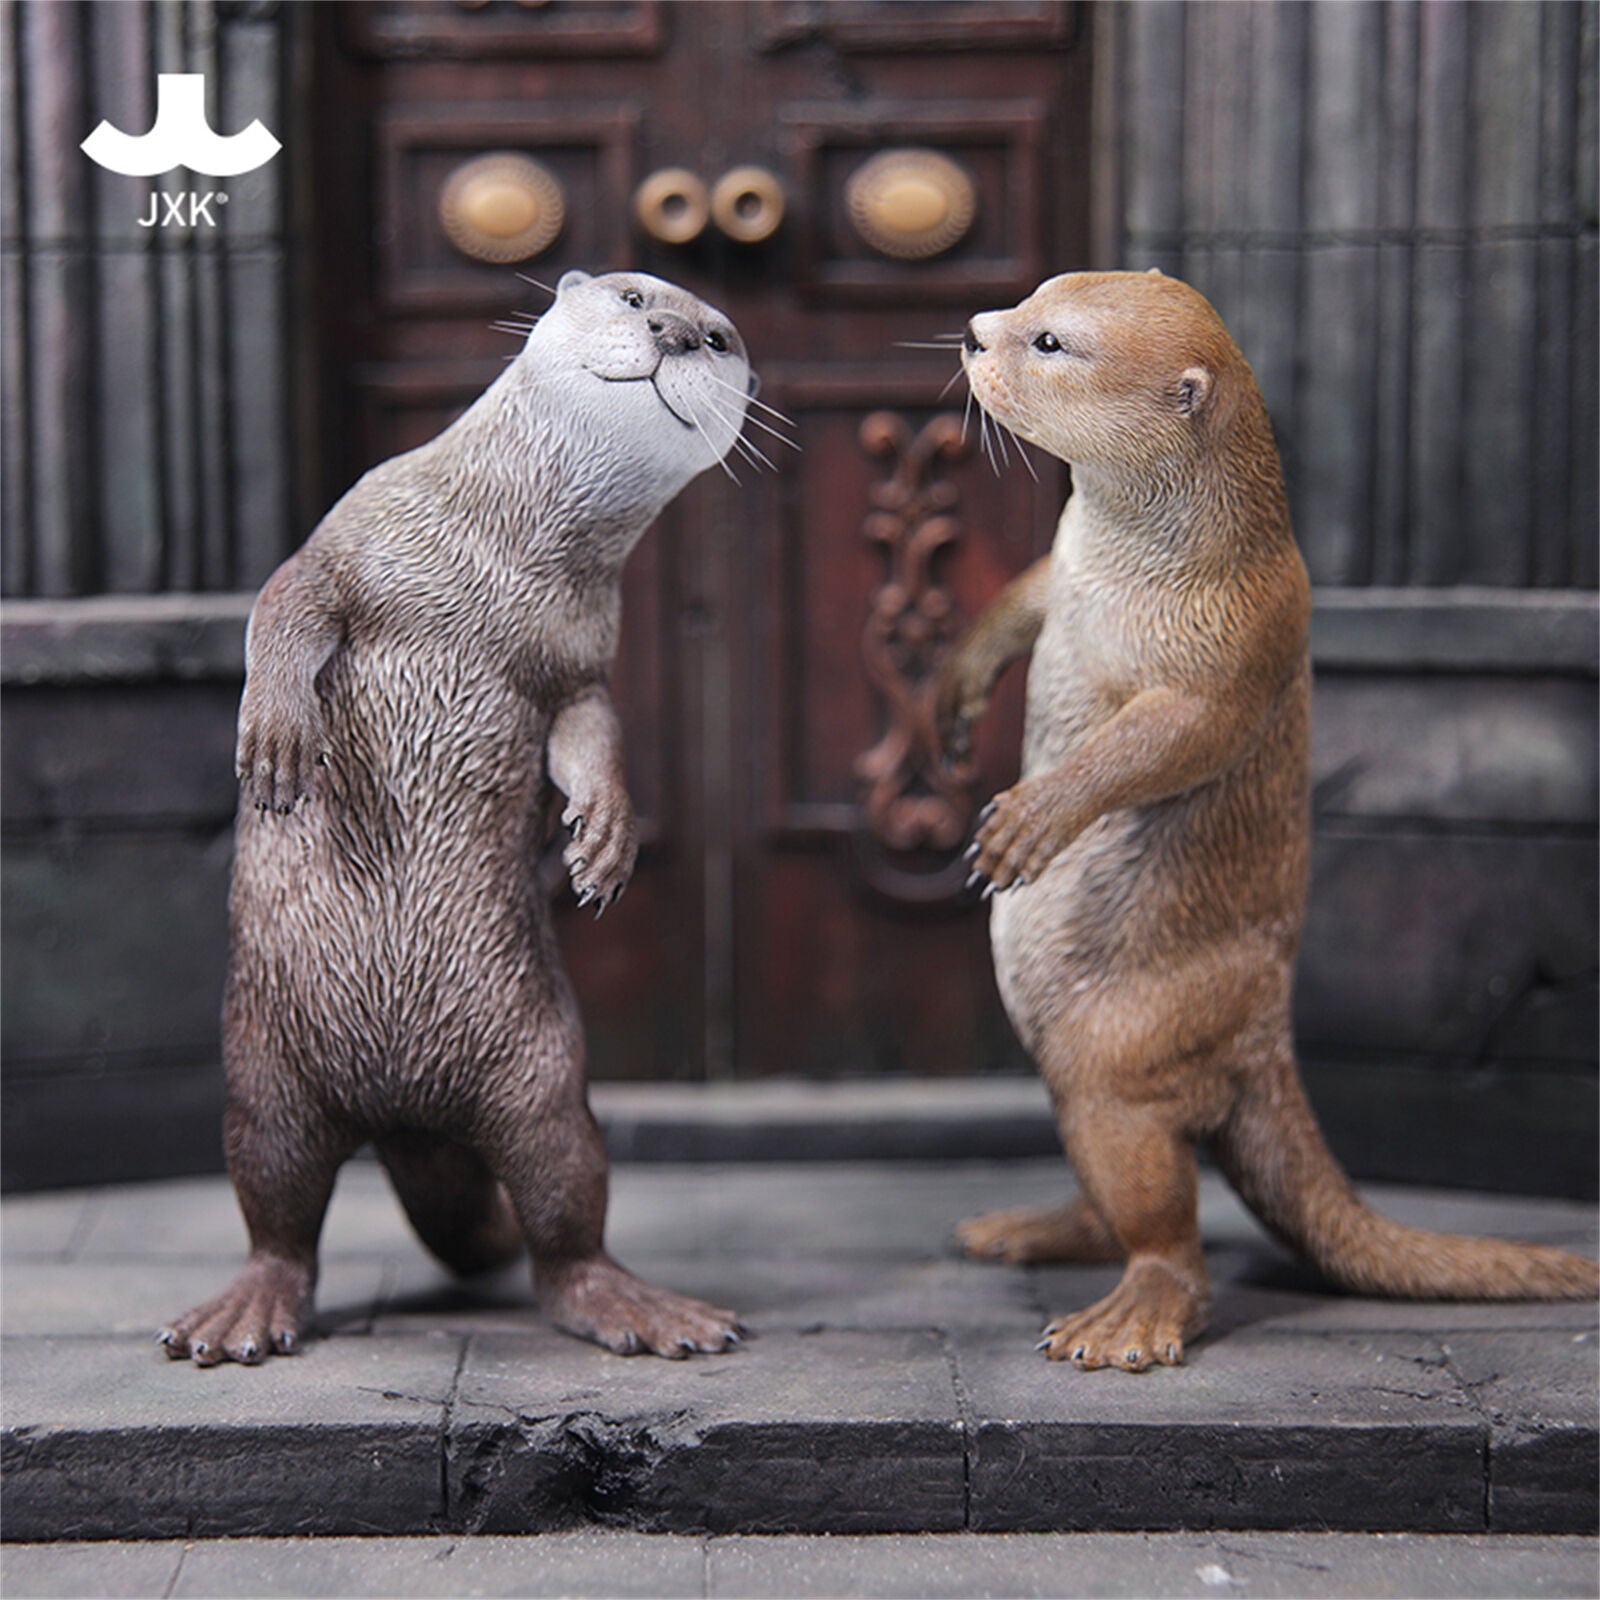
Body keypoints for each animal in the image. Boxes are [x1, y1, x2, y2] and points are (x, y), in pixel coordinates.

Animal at [161, 270, 752, 1365]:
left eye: (722, 337)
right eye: (633, 295)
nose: (676, 331)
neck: (498, 567)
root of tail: (404, 1111)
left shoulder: (581, 654)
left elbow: (593, 728)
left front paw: (606, 837)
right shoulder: (354, 533)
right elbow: (285, 601)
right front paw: (277, 737)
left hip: (542, 1074)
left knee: (566, 1211)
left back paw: (640, 1308)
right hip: (265, 1070)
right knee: (275, 1209)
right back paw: (242, 1313)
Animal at [936, 269, 1598, 1372]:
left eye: (1049, 341)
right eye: (1030, 297)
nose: (973, 333)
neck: (1137, 573)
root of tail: (1261, 1047)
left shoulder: (1234, 645)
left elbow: (1156, 744)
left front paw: (1027, 824)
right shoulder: (1060, 569)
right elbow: (1014, 604)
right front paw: (951, 690)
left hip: (1126, 1051)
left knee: (1167, 1219)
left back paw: (1128, 1324)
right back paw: (1024, 1231)